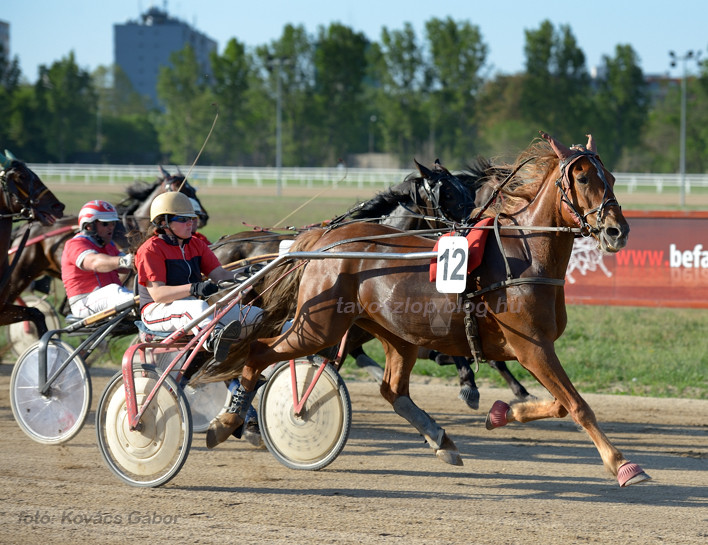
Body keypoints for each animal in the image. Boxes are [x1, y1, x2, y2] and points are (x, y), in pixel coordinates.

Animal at [202, 133, 648, 488]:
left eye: (611, 178)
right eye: (583, 178)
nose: (617, 231)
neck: (526, 256)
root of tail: (322, 240)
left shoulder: (532, 349)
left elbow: (557, 403)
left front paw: (501, 412)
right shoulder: (531, 346)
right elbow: (577, 405)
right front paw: (623, 465)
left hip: (394, 333)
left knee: (392, 390)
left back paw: (441, 439)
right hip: (320, 326)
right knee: (260, 352)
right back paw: (233, 421)